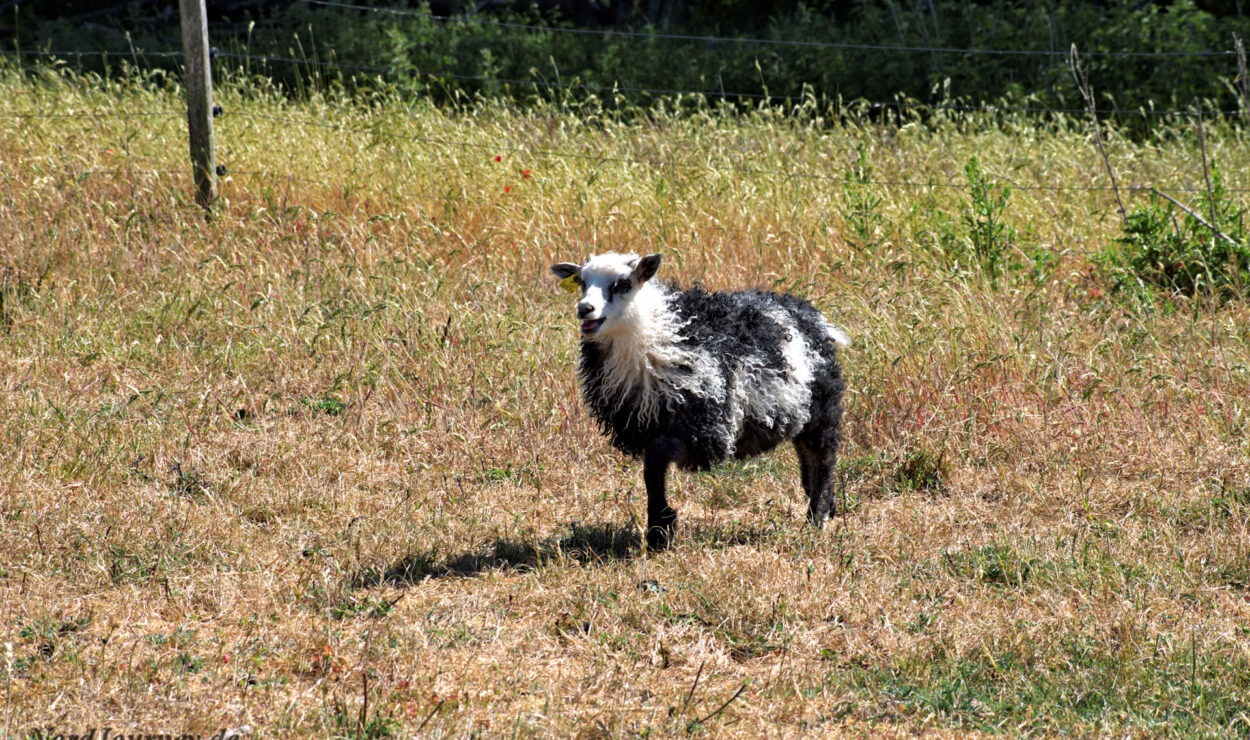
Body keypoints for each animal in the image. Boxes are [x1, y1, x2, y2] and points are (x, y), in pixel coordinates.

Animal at [550, 251, 850, 547]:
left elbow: (655, 460)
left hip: (822, 407)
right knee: (806, 455)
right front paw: (659, 528)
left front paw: (660, 527)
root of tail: (810, 314)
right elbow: (651, 473)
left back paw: (817, 518)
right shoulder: (645, 425)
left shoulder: (705, 430)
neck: (655, 333)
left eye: (623, 284)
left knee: (823, 457)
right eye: (582, 282)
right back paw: (825, 503)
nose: (584, 309)